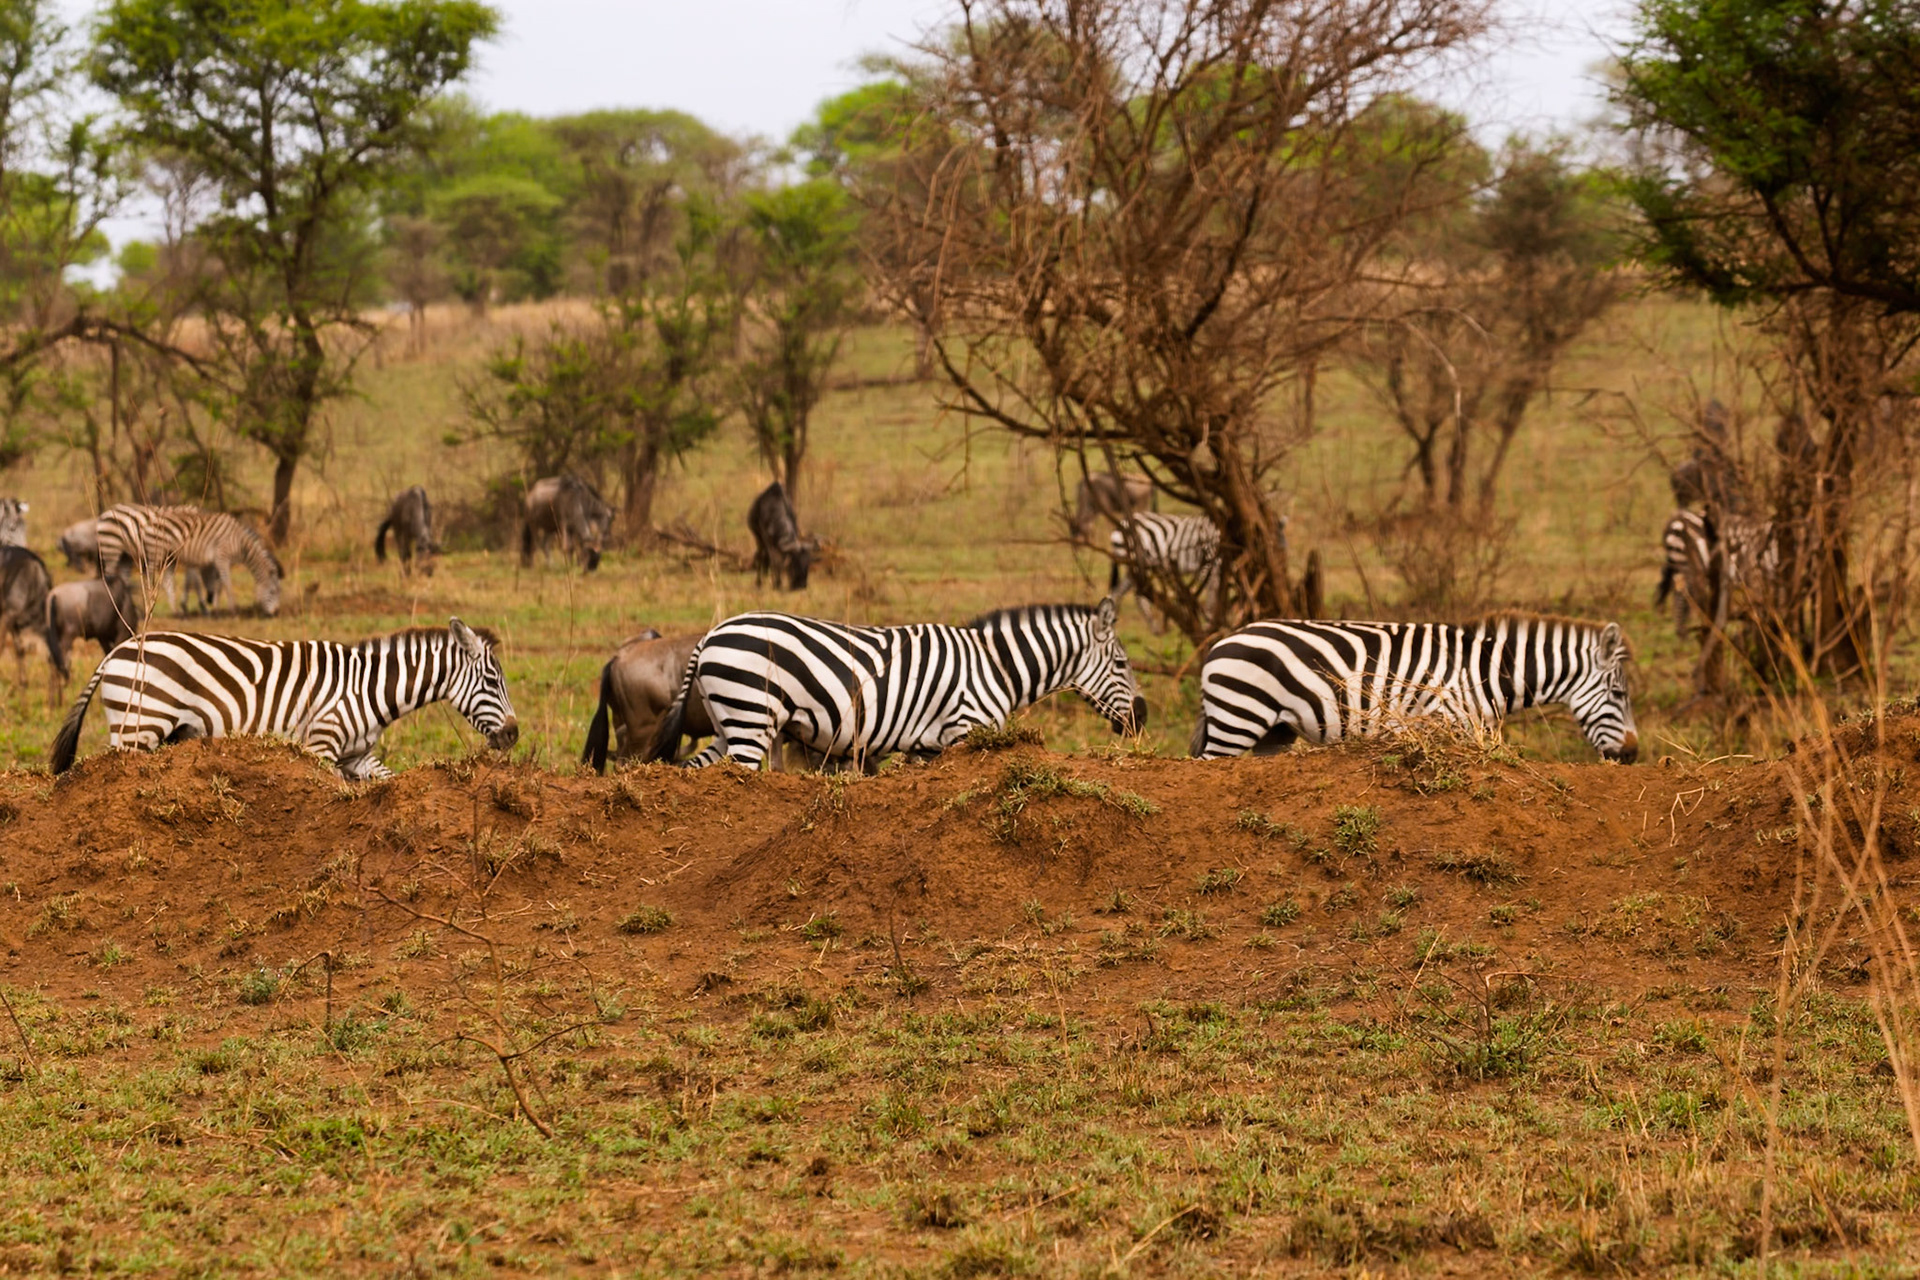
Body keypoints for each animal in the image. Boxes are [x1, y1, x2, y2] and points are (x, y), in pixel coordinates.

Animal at [49, 618, 518, 780]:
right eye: (492, 680)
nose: (514, 735)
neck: (367, 688)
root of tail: (117, 650)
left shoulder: (357, 755)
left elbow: (390, 780)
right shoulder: (321, 743)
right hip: (140, 725)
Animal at [644, 599, 1147, 772]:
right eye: (1122, 663)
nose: (1142, 719)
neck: (996, 665)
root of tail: (710, 634)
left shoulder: (930, 747)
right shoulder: (966, 729)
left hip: (729, 722)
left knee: (693, 769)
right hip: (750, 718)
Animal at [1188, 614, 1637, 762]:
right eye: (1619, 695)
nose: (1632, 756)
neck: (1484, 673)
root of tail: (1219, 645)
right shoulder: (1450, 721)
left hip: (1274, 733)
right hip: (1238, 720)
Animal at [1656, 508, 1779, 637]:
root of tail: (1677, 519)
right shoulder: (1756, 575)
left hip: (1678, 564)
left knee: (1675, 590)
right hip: (1689, 566)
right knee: (1682, 594)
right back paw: (1686, 630)